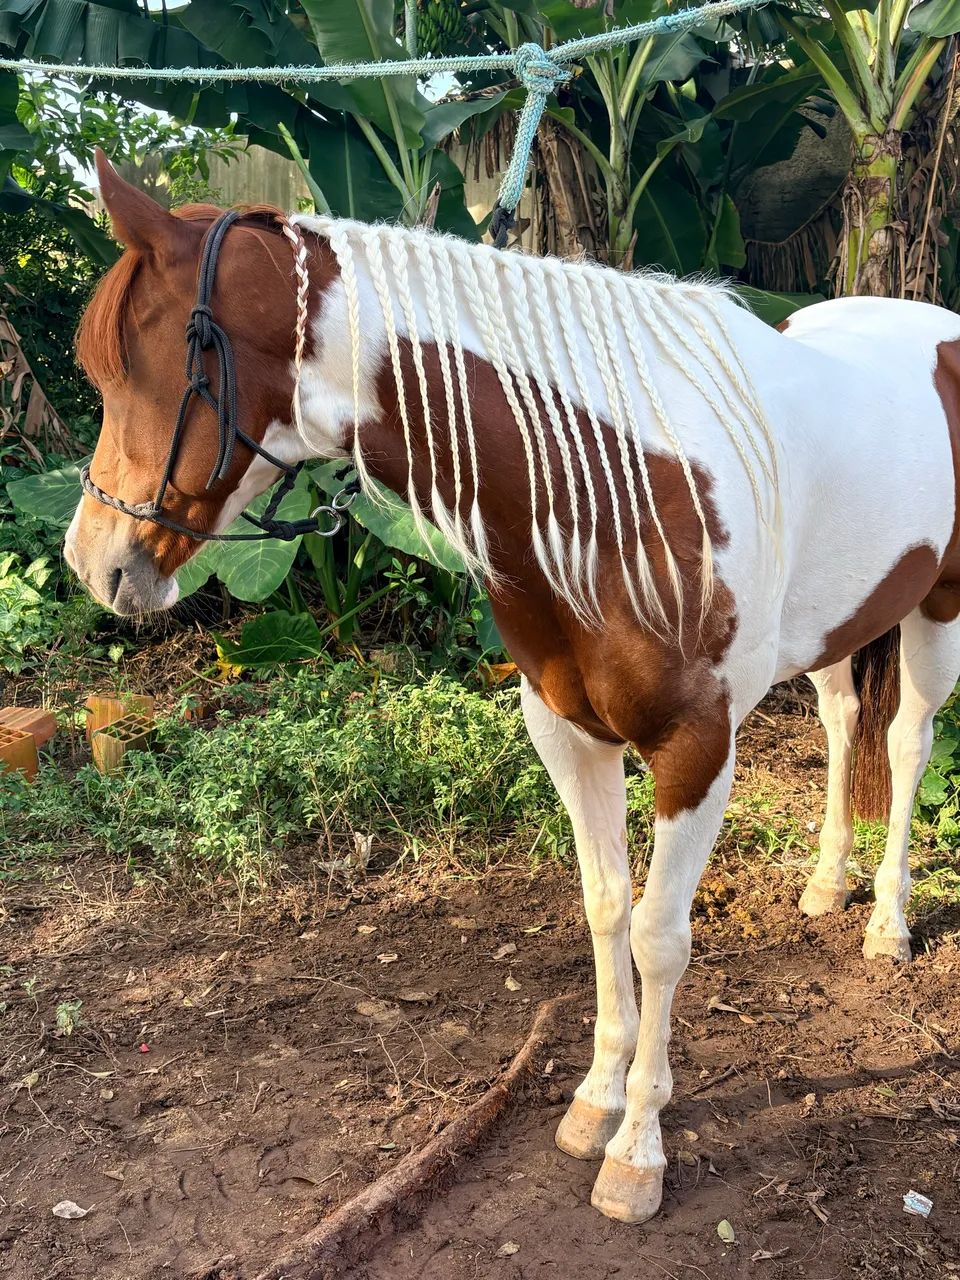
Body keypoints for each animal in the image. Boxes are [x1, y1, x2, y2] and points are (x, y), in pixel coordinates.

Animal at [66, 150, 960, 1226]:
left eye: (139, 367)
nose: (92, 564)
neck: (604, 481)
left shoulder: (697, 746)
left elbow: (660, 936)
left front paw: (638, 1152)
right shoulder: (568, 730)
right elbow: (605, 906)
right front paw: (594, 1102)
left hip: (941, 603)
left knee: (908, 739)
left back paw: (887, 920)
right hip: (842, 619)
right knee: (839, 717)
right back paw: (829, 883)